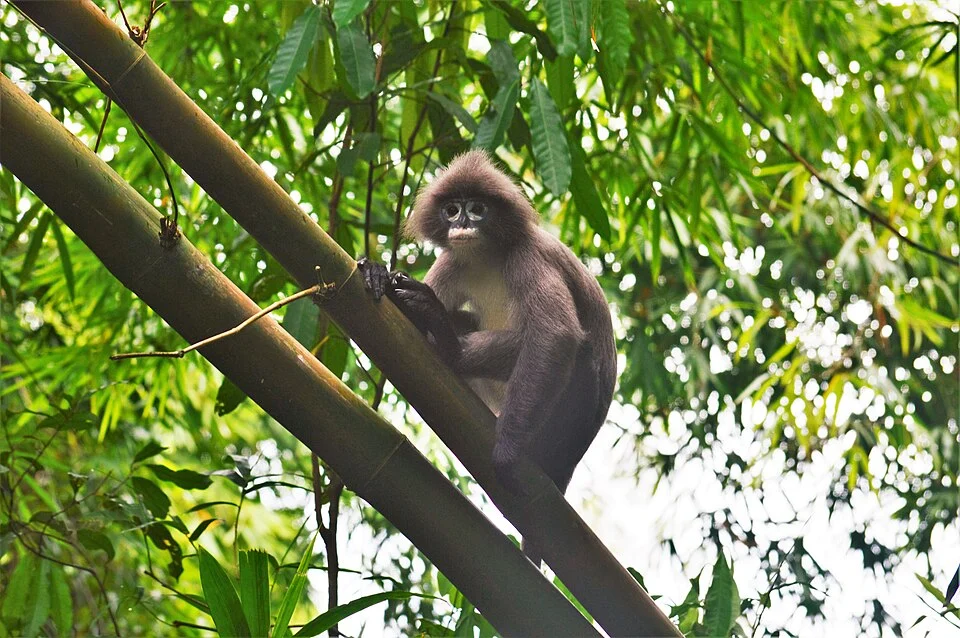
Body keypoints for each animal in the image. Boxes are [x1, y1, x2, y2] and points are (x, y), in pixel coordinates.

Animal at [359, 150, 616, 564]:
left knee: (574, 347)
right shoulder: (454, 258)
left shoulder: (527, 256)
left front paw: (507, 452)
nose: (462, 223)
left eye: (477, 209)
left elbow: (556, 335)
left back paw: (448, 343)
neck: (487, 256)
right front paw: (379, 273)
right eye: (452, 210)